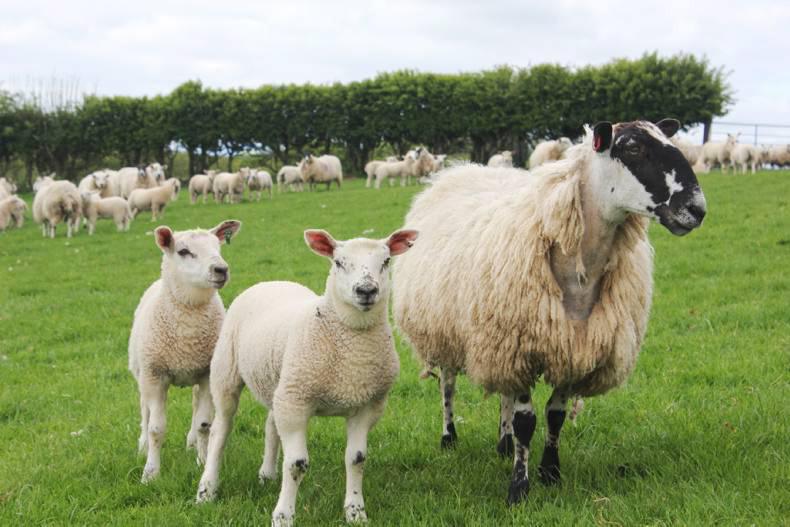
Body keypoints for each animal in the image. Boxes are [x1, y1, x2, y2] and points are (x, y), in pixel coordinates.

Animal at [129, 219, 241, 483]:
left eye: (218, 247)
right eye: (183, 251)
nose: (221, 269)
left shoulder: (207, 374)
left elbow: (204, 424)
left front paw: (202, 461)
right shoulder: (155, 375)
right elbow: (156, 428)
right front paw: (150, 473)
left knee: (195, 406)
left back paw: (191, 444)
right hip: (142, 373)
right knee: (144, 411)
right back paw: (142, 447)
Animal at [196, 228, 418, 526]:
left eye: (385, 261)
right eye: (338, 262)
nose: (366, 291)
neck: (353, 351)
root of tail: (273, 281)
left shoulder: (368, 405)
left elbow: (357, 459)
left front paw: (355, 512)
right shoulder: (297, 403)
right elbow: (296, 464)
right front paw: (283, 516)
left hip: (280, 382)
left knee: (271, 425)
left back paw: (267, 474)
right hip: (227, 374)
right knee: (220, 431)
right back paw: (207, 489)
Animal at [392, 119, 707, 505]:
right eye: (633, 148)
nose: (697, 208)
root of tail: (459, 170)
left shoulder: (574, 344)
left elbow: (555, 416)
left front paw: (550, 472)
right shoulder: (522, 347)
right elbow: (527, 421)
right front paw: (519, 488)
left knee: (503, 394)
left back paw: (504, 443)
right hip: (447, 329)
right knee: (448, 386)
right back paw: (449, 436)